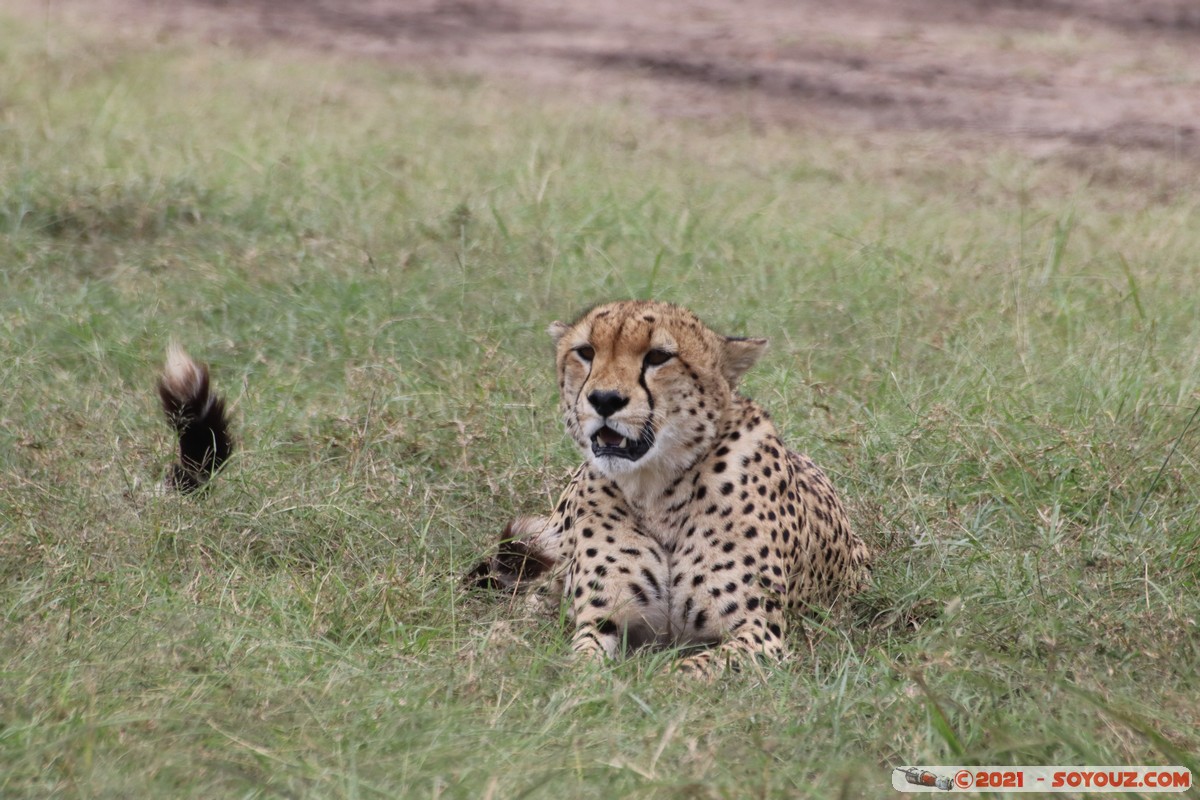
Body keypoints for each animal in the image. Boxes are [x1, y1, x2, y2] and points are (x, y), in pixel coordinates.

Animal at [470, 299, 873, 676]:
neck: (657, 489)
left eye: (658, 357)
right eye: (585, 352)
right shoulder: (600, 622)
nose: (604, 399)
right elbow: (582, 664)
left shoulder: (759, 635)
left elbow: (685, 671)